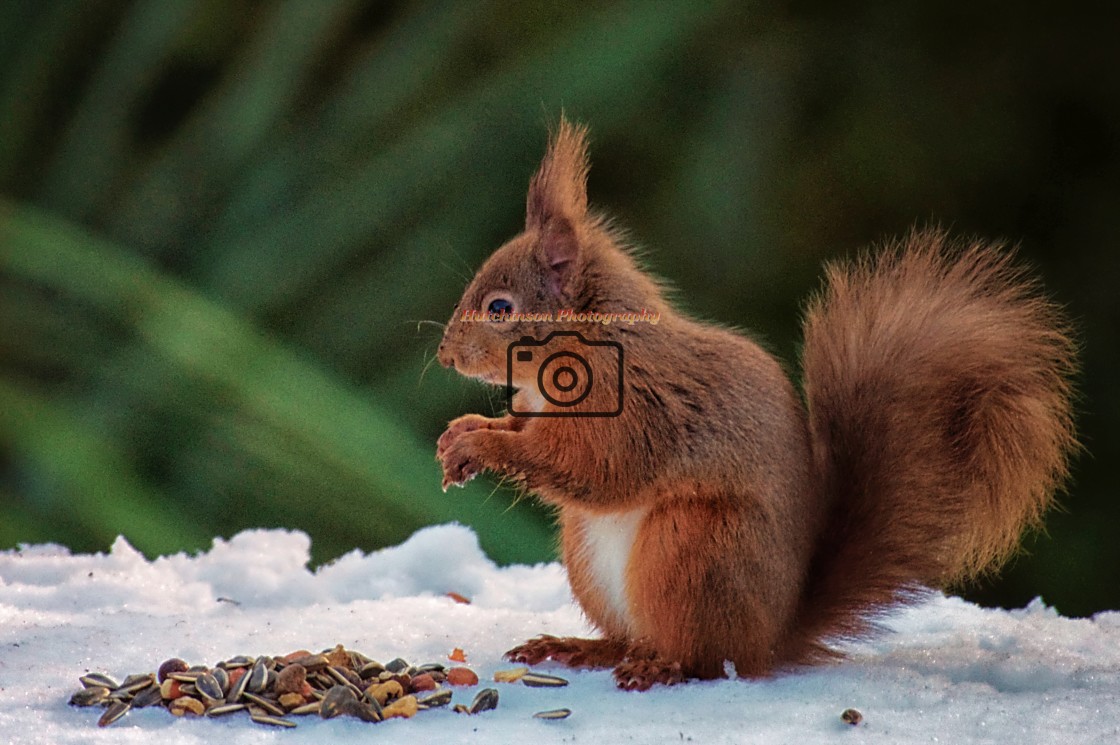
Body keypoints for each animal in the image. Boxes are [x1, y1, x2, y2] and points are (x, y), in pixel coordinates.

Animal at [434, 117, 1075, 690]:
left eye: (499, 309)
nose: (444, 355)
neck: (582, 345)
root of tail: (772, 636)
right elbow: (524, 430)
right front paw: (463, 431)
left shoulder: (635, 406)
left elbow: (591, 465)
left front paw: (479, 444)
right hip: (595, 557)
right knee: (633, 638)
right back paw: (581, 648)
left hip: (692, 548)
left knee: (704, 657)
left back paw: (661, 666)